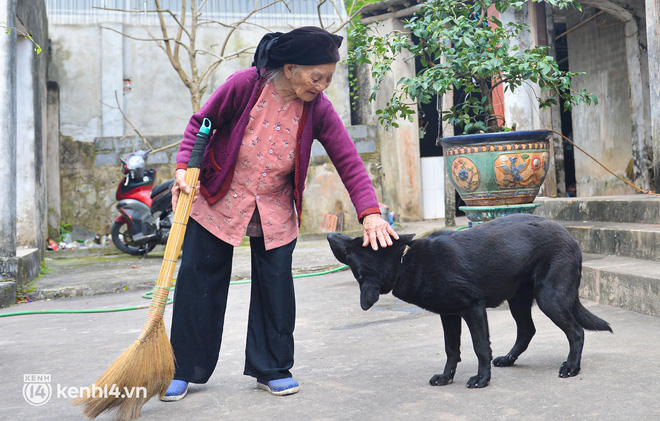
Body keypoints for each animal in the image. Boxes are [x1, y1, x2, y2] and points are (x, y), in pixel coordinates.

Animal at [328, 213, 612, 388]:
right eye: (355, 242)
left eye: (350, 249)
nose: (331, 235)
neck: (403, 261)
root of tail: (571, 238)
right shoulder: (449, 315)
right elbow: (451, 349)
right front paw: (446, 377)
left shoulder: (473, 309)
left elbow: (480, 347)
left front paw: (482, 379)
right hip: (518, 300)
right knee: (527, 331)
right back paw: (508, 359)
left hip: (549, 299)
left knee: (576, 331)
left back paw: (572, 367)